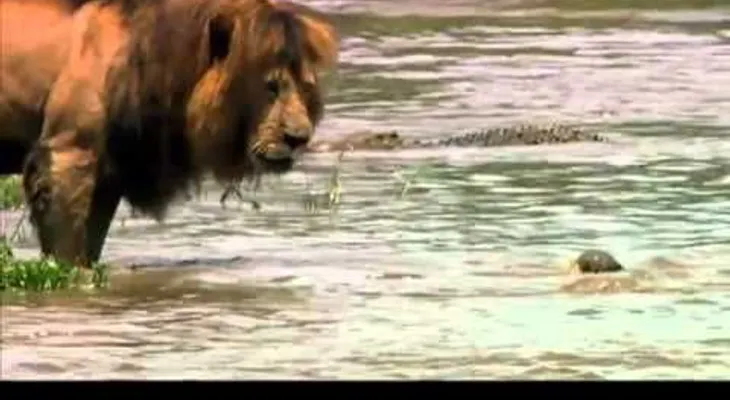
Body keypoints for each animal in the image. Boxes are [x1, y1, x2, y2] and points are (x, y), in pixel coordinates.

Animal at [0, 0, 339, 267]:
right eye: (270, 86)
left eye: (306, 87)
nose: (299, 138)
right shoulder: (68, 151)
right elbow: (67, 248)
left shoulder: (110, 169)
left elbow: (92, 240)